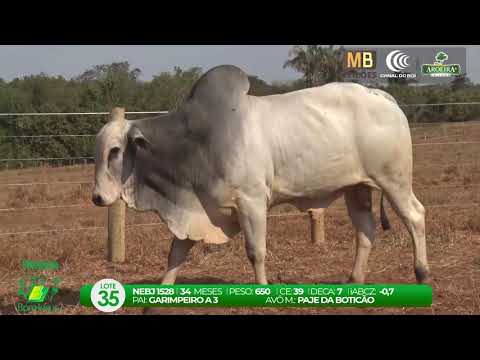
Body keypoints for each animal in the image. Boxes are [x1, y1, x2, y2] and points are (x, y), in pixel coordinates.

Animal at [92, 64, 430, 284]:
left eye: (115, 151)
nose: (96, 198)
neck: (196, 142)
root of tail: (382, 96)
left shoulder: (251, 202)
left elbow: (256, 252)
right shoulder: (198, 207)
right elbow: (175, 254)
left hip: (394, 181)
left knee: (415, 216)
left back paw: (422, 273)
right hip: (356, 188)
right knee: (365, 231)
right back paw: (354, 280)